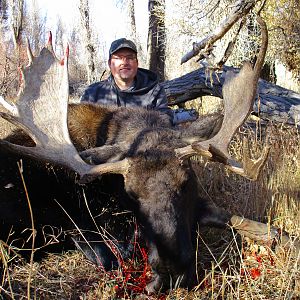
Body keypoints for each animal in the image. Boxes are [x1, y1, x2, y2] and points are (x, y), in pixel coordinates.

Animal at [0, 15, 296, 292]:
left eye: (185, 183)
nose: (171, 270)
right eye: (130, 194)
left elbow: (263, 227)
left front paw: (285, 239)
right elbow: (114, 253)